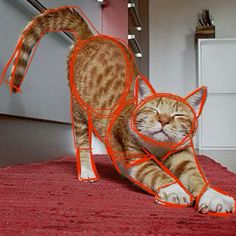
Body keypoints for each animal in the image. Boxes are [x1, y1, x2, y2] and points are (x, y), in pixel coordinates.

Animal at [3, 6, 234, 214]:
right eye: (153, 110)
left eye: (177, 115)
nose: (163, 121)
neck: (158, 148)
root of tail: (90, 36)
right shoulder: (138, 158)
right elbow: (159, 174)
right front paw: (176, 189)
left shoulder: (182, 156)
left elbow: (196, 177)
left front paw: (214, 196)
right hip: (79, 111)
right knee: (82, 142)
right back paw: (87, 171)